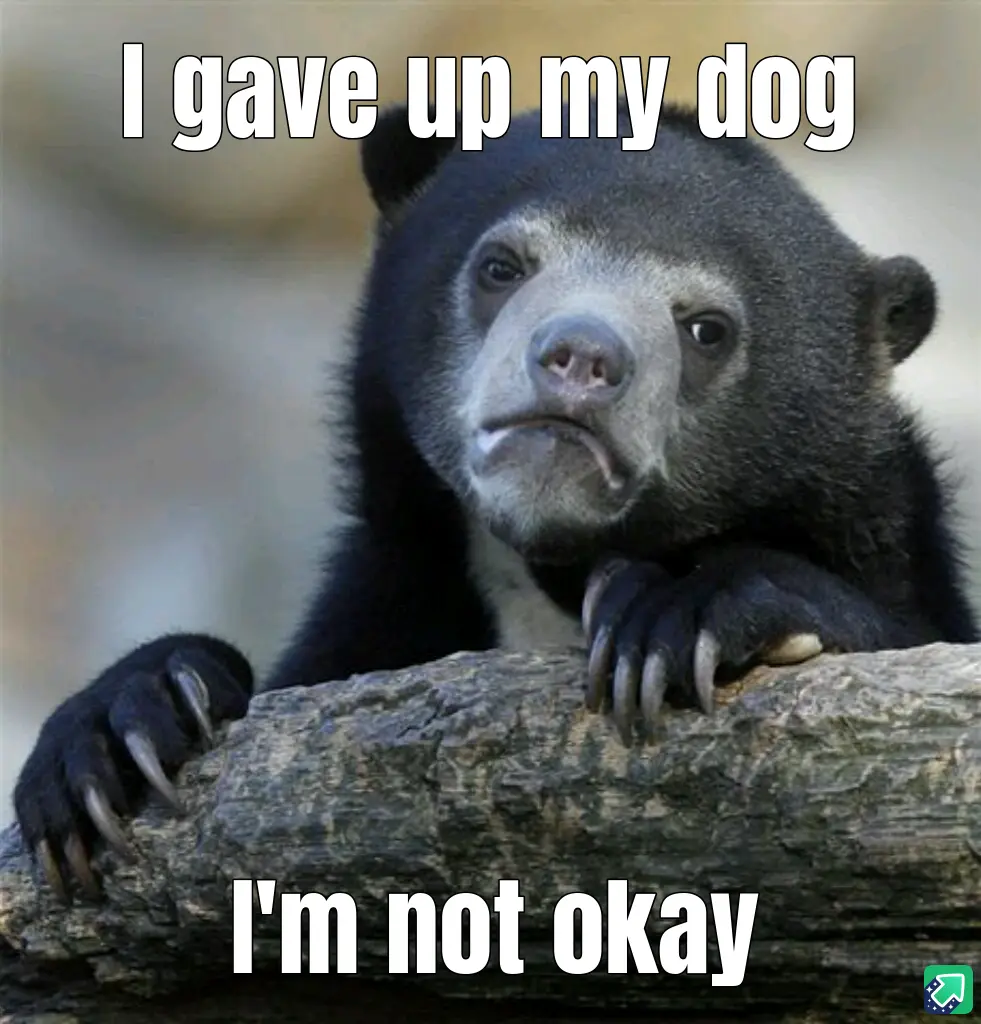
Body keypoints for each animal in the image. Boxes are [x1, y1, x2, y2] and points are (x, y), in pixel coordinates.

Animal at [13, 100, 979, 901]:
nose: (581, 357)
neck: (547, 573)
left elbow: (903, 625)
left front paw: (672, 613)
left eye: (706, 329)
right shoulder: (395, 594)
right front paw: (118, 732)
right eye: (501, 265)